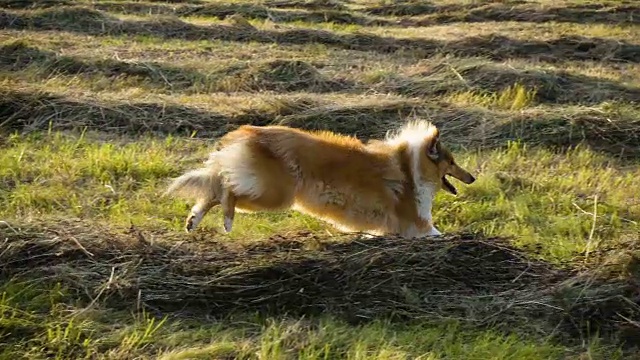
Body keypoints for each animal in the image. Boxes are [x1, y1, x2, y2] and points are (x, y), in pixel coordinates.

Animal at [165, 121, 476, 238]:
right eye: (452, 162)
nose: (472, 178)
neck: (412, 167)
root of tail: (247, 132)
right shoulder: (418, 225)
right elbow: (436, 233)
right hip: (272, 195)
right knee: (225, 190)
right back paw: (227, 221)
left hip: (263, 190)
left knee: (214, 189)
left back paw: (193, 221)